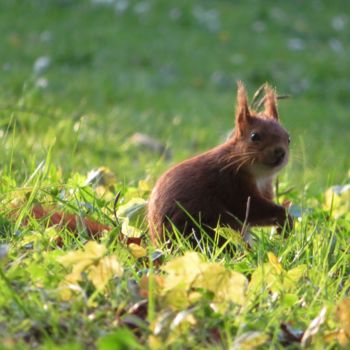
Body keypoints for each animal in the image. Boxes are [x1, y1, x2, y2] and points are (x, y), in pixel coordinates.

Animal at [148, 82, 292, 246]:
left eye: (288, 138)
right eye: (254, 136)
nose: (280, 152)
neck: (258, 174)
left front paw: (283, 226)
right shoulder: (231, 183)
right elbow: (250, 209)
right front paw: (285, 218)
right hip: (209, 223)